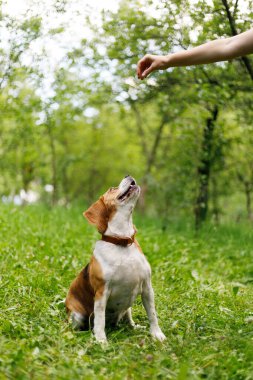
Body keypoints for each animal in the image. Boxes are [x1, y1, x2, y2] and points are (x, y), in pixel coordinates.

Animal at [65, 177, 166, 342]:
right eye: (112, 188)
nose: (129, 175)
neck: (122, 243)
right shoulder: (101, 293)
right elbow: (100, 320)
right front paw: (101, 341)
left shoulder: (147, 288)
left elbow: (152, 314)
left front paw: (157, 334)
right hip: (77, 316)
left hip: (128, 308)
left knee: (128, 319)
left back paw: (135, 327)